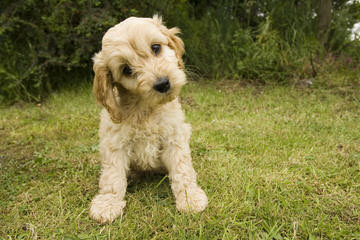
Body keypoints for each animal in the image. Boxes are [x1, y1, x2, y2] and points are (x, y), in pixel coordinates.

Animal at [89, 15, 208, 223]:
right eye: (126, 70)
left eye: (156, 48)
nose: (163, 83)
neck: (145, 108)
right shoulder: (114, 142)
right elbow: (112, 175)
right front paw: (107, 203)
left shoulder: (174, 137)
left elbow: (182, 168)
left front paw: (190, 197)